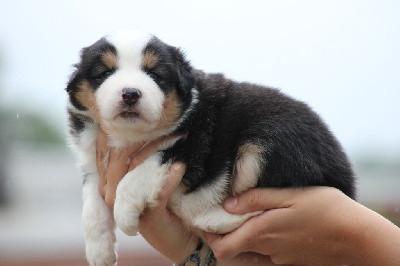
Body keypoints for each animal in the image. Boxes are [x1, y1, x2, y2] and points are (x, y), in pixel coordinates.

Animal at [66, 29, 356, 266]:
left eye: (155, 74)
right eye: (105, 73)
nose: (130, 94)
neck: (129, 136)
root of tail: (346, 179)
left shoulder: (191, 148)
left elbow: (136, 176)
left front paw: (125, 214)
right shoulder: (93, 160)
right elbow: (91, 206)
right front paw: (99, 254)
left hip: (265, 143)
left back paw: (207, 217)